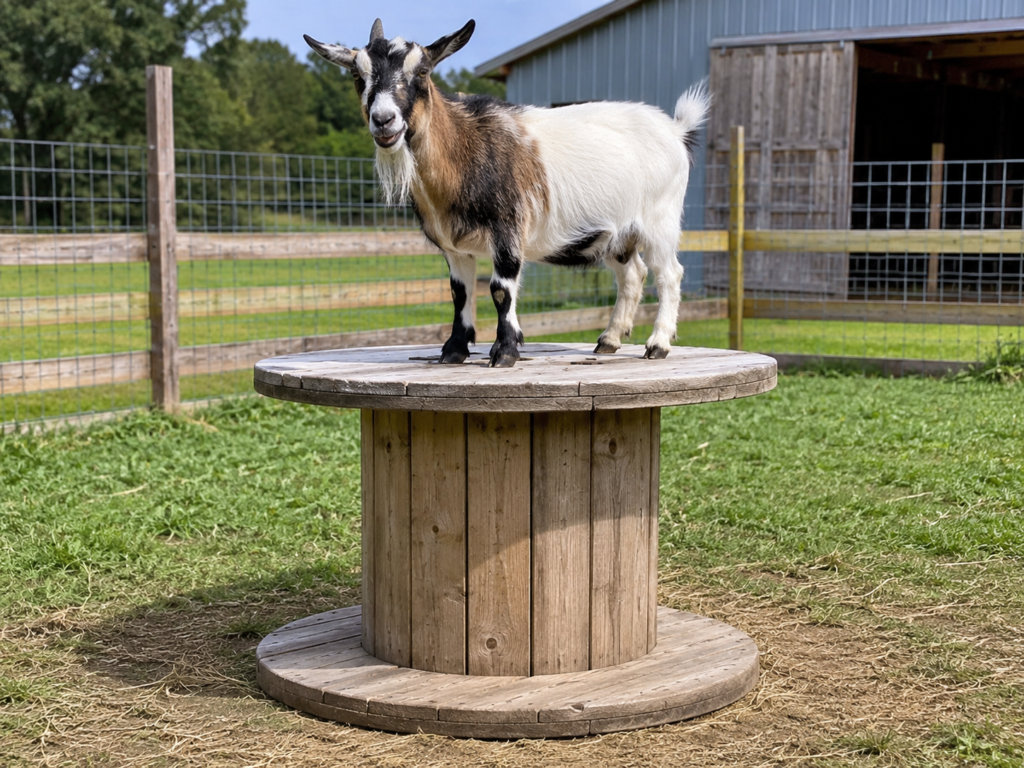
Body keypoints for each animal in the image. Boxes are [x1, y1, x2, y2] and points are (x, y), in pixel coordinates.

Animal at [305, 19, 709, 367]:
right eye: (357, 75)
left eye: (422, 72)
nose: (384, 120)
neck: (464, 147)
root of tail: (676, 130)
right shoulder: (453, 247)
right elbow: (460, 293)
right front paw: (453, 350)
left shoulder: (508, 230)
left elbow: (501, 290)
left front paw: (505, 351)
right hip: (619, 234)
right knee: (632, 274)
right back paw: (609, 339)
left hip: (660, 220)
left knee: (668, 274)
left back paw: (657, 344)